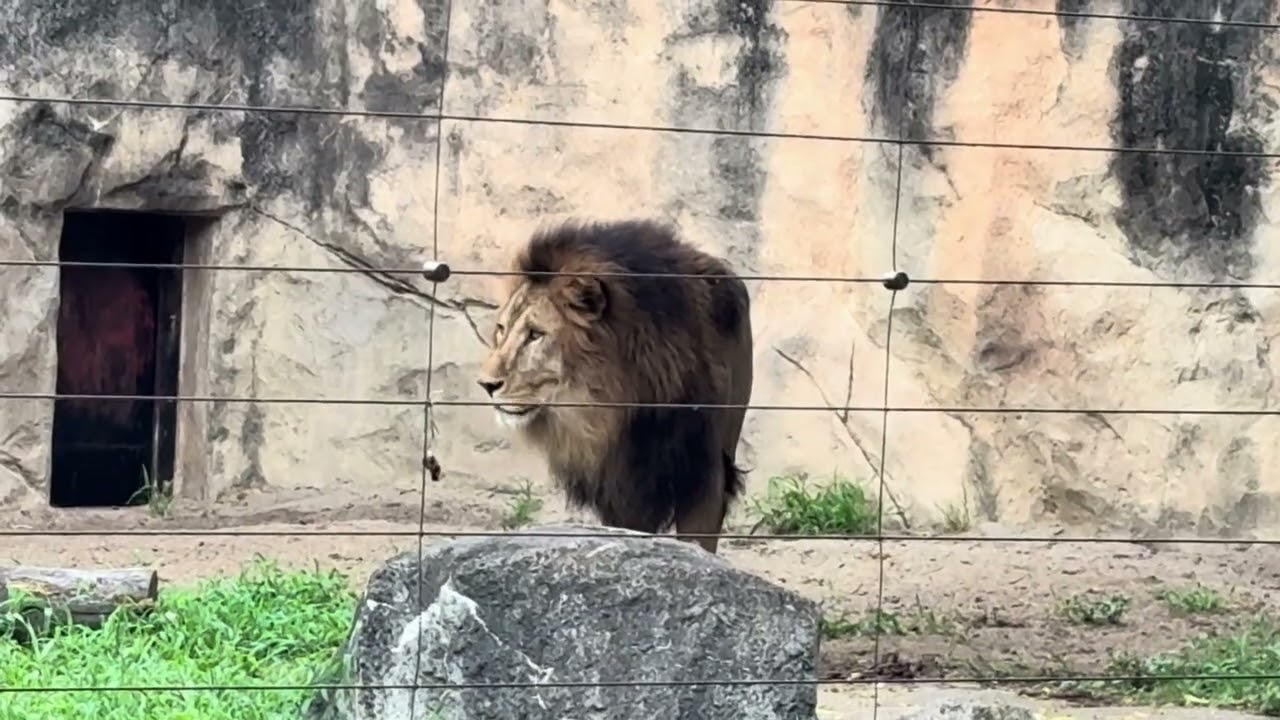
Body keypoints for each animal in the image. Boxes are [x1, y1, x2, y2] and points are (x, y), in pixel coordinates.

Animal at [476, 218, 754, 554]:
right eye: (501, 330)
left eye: (535, 334)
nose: (487, 384)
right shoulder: (618, 481)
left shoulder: (703, 468)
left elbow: (698, 538)